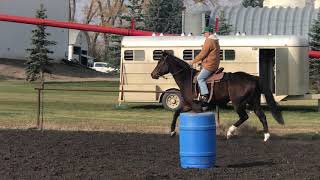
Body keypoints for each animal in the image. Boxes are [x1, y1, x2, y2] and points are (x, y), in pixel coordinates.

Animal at [151, 51, 284, 142]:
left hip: (238, 103)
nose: (153, 74)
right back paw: (266, 136)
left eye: (160, 62)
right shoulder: (188, 105)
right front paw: (172, 132)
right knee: (262, 116)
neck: (187, 79)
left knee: (244, 116)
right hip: (254, 102)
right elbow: (176, 113)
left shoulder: (196, 106)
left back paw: (230, 132)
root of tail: (253, 78)